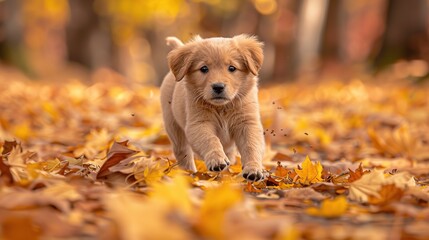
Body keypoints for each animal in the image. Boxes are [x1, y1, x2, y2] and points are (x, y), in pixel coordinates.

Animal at [159, 33, 262, 180]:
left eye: (232, 68)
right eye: (204, 68)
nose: (218, 87)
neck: (222, 108)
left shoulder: (247, 123)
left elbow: (251, 146)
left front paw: (253, 169)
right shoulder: (198, 124)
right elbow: (210, 139)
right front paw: (216, 159)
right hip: (174, 127)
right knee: (183, 153)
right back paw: (188, 173)